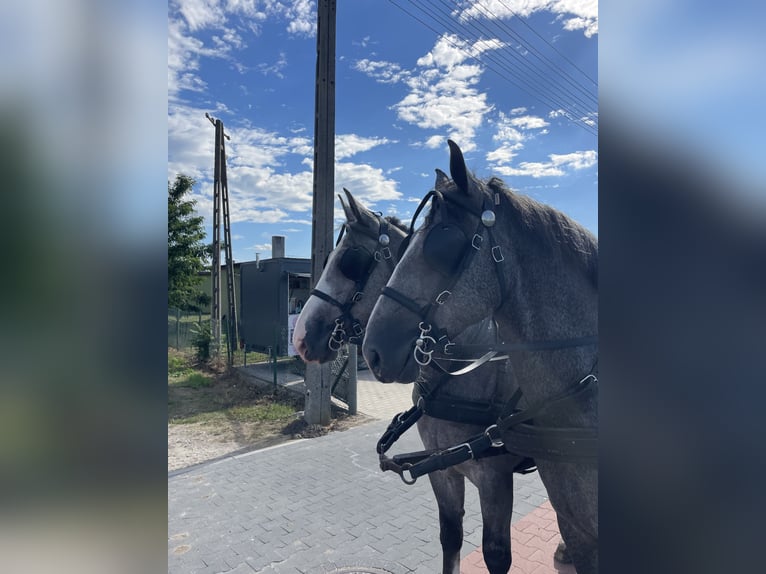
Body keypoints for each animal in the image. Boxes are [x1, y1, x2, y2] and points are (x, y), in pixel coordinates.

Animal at [294, 190, 568, 574]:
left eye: (351, 262)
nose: (301, 338)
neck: (463, 372)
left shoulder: (495, 480)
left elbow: (496, 554)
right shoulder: (444, 471)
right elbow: (451, 537)